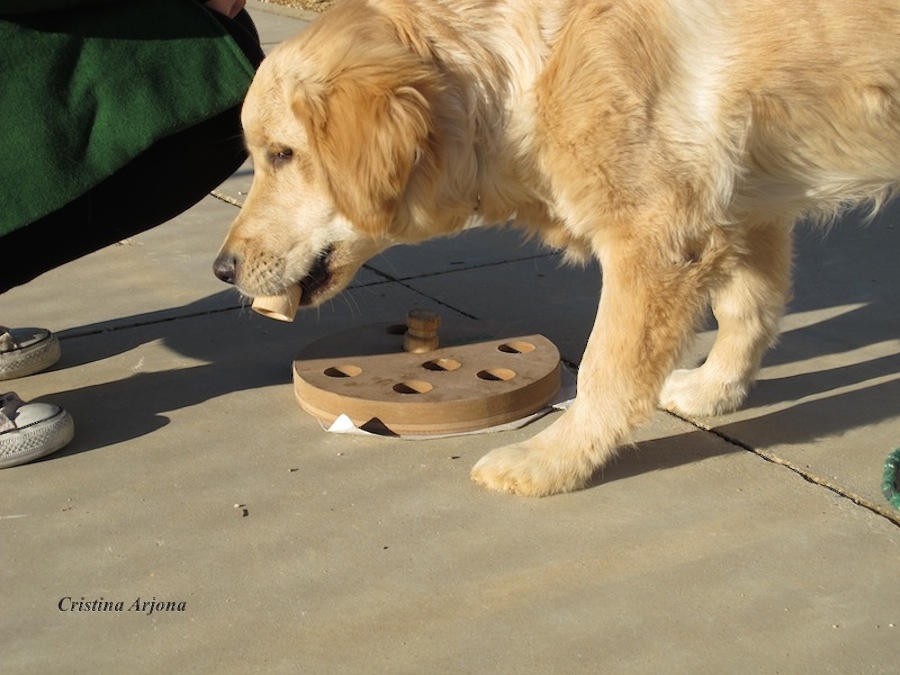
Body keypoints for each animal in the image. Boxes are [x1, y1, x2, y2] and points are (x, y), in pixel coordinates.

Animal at [216, 0, 900, 496]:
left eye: (282, 153)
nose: (222, 269)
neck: (530, 58)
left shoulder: (656, 232)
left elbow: (604, 369)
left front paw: (553, 462)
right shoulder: (744, 204)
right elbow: (746, 309)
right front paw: (716, 391)